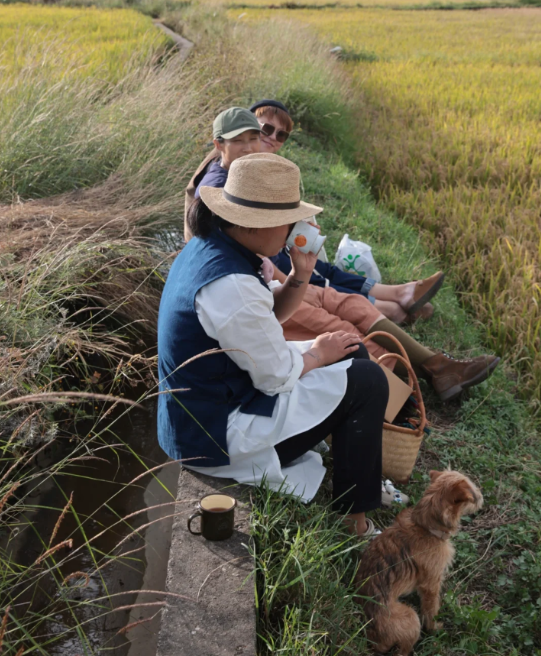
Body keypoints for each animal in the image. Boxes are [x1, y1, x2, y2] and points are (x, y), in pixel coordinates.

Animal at [356, 468, 484, 652]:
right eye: (472, 490)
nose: (481, 496)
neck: (424, 526)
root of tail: (372, 636)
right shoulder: (431, 584)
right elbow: (431, 608)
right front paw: (434, 627)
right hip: (411, 617)